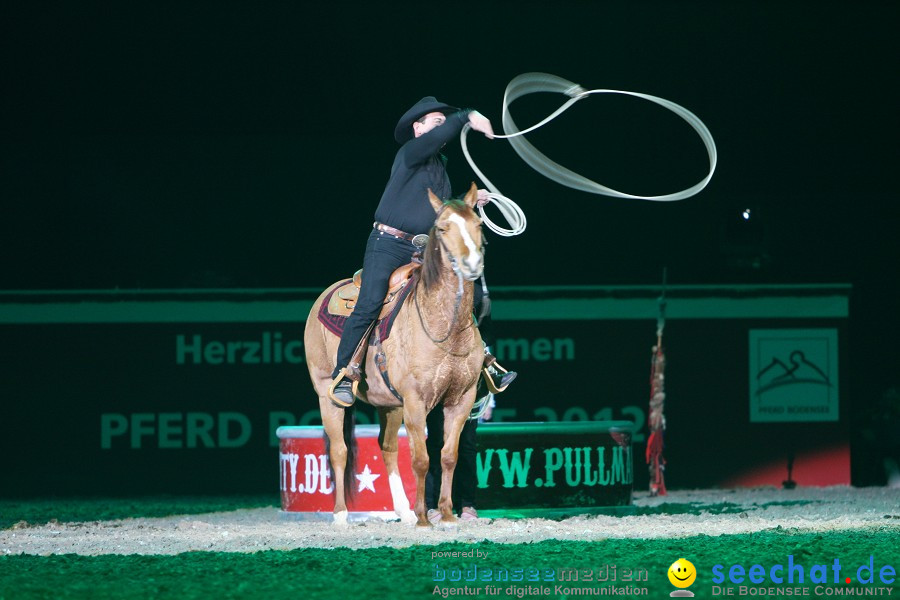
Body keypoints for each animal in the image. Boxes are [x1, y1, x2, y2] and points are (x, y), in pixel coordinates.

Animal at [302, 183, 486, 524]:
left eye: (478, 224)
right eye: (443, 227)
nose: (471, 265)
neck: (444, 329)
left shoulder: (461, 399)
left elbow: (448, 456)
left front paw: (446, 515)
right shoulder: (415, 401)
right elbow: (421, 460)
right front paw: (425, 519)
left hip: (389, 404)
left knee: (387, 448)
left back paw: (403, 511)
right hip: (326, 394)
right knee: (338, 450)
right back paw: (341, 515)